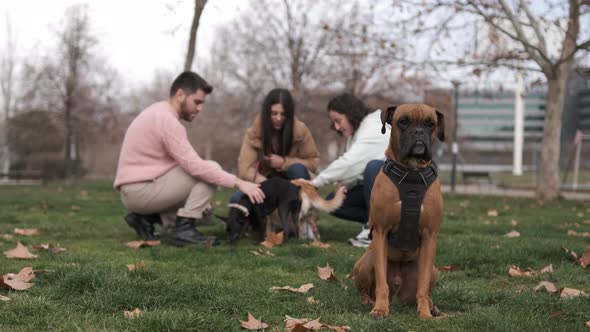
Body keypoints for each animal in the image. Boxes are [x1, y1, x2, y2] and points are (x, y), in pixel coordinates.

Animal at [354, 104, 446, 320]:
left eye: (430, 123)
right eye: (403, 121)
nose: (418, 132)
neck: (411, 172)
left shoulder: (430, 235)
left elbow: (422, 287)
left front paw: (425, 312)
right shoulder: (381, 231)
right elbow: (381, 281)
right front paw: (380, 308)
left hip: (433, 269)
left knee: (426, 288)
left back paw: (432, 306)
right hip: (365, 262)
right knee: (366, 287)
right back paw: (367, 301)